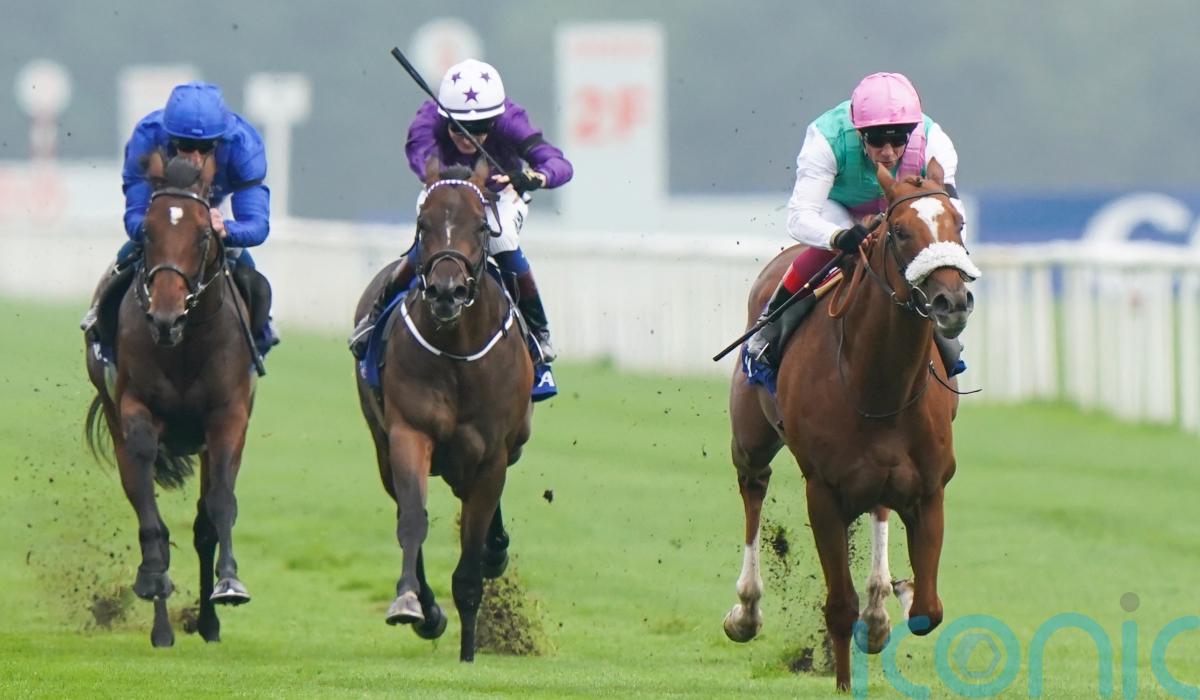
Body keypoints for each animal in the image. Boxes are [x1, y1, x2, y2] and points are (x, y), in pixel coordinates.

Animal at [84, 150, 258, 647]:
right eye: (147, 232)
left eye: (203, 235)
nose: (165, 317)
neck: (184, 344)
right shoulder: (135, 409)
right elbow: (152, 518)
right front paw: (153, 579)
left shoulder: (228, 417)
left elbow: (219, 506)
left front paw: (228, 583)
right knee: (146, 504)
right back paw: (162, 625)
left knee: (204, 525)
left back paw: (208, 624)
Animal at [353, 159, 533, 661]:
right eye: (423, 225)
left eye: (480, 225)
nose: (446, 292)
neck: (457, 351)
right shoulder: (408, 434)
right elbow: (413, 519)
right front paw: (415, 605)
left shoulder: (492, 453)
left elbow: (471, 560)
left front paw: (469, 652)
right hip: (382, 446)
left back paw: (496, 550)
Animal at [722, 160, 979, 691]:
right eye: (900, 232)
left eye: (959, 224)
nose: (952, 301)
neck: (878, 385)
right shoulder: (822, 490)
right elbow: (840, 607)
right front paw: (843, 681)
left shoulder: (929, 488)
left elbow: (928, 611)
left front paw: (896, 597)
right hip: (751, 440)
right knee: (753, 489)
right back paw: (746, 610)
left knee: (878, 512)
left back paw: (880, 607)